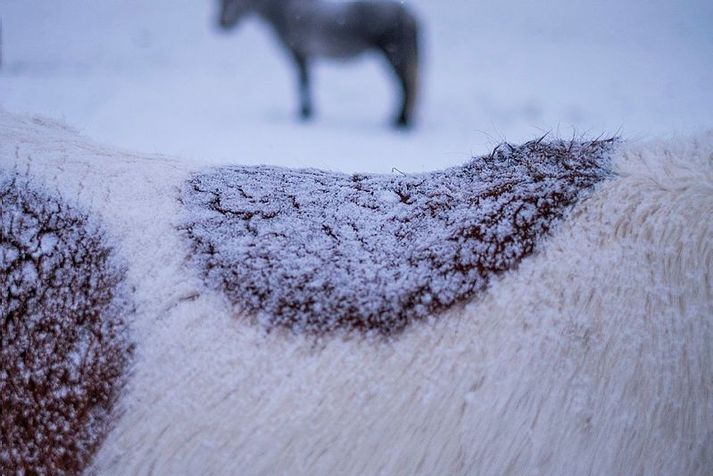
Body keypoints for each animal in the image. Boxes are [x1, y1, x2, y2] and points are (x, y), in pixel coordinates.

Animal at [216, 0, 418, 128]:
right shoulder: (305, 56)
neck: (285, 12)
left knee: (405, 85)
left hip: (394, 55)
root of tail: (408, 14)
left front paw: (305, 113)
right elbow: (306, 82)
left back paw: (401, 122)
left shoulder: (299, 54)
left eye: (231, 0)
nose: (219, 24)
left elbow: (303, 83)